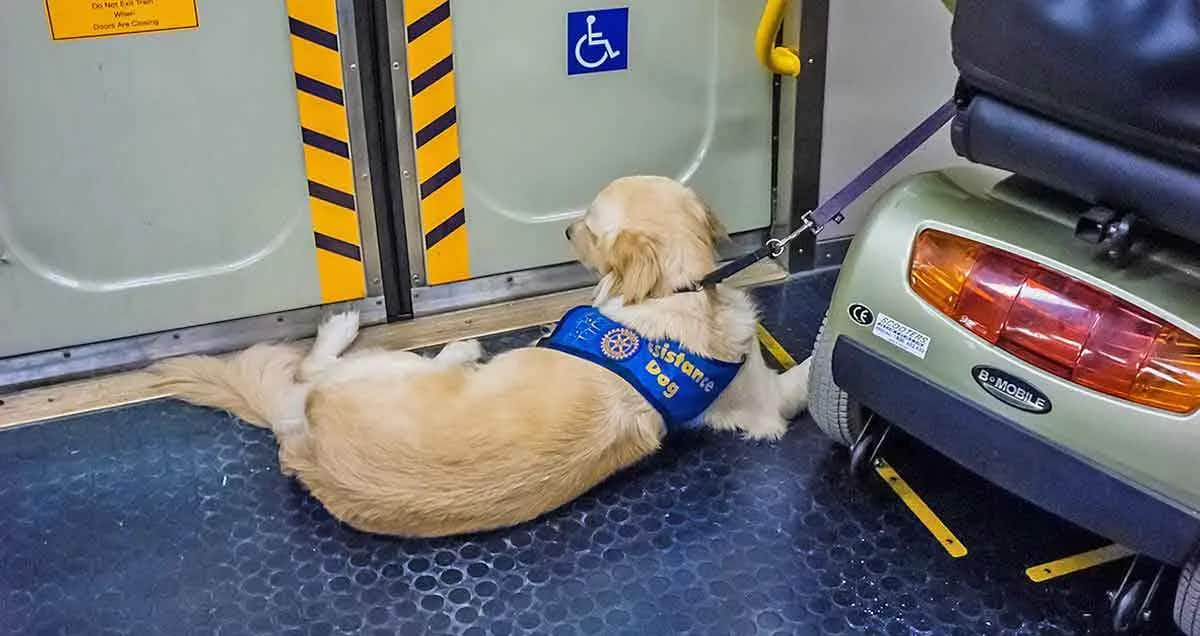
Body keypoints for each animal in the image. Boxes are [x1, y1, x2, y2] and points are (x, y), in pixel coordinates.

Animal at [150, 175, 806, 537]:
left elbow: (798, 382)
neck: (683, 292)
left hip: (386, 368)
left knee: (319, 364)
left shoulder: (763, 405)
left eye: (589, 226)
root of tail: (300, 439)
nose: (563, 231)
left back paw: (409, 336)